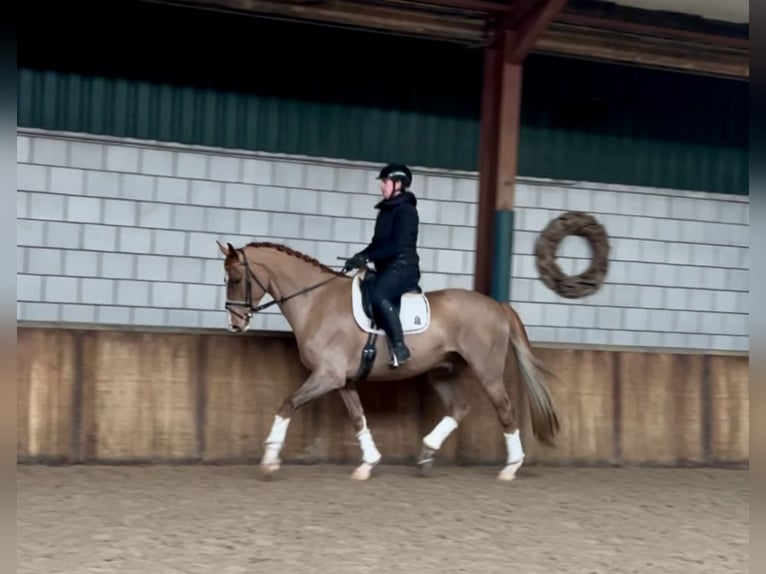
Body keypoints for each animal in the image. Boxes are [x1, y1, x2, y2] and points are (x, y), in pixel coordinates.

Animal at [216, 241, 560, 484]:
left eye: (236, 278)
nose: (235, 324)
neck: (317, 302)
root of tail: (498, 305)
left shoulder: (327, 376)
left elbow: (287, 404)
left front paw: (269, 461)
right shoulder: (343, 380)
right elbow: (358, 418)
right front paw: (368, 464)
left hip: (487, 372)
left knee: (505, 410)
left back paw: (510, 468)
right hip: (441, 372)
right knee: (459, 408)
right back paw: (426, 455)